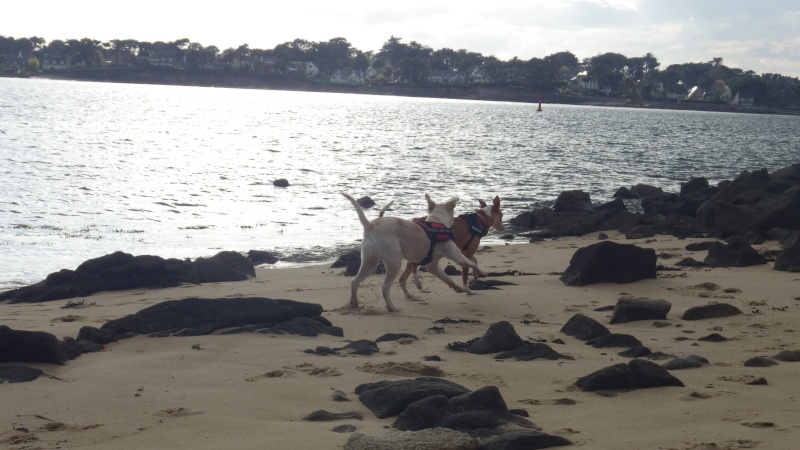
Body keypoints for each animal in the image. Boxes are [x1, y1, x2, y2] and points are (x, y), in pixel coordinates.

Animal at [344, 192, 488, 312]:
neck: (437, 222)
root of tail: (370, 225)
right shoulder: (456, 255)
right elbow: (471, 263)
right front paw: (481, 272)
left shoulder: (432, 266)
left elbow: (447, 278)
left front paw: (457, 287)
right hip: (394, 262)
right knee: (384, 287)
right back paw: (391, 307)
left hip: (370, 262)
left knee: (354, 281)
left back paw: (354, 303)